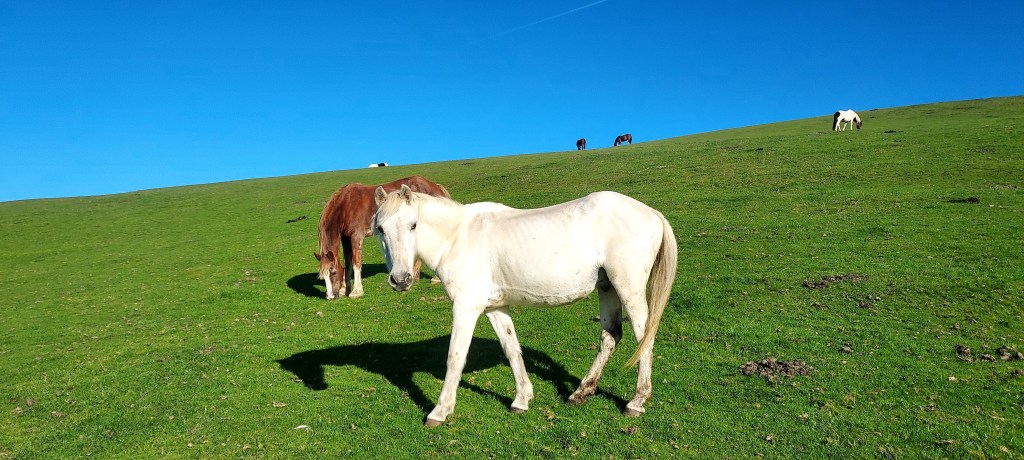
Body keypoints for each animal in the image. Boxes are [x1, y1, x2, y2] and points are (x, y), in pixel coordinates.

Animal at [315, 176, 450, 299]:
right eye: (323, 277)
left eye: (333, 272)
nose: (330, 297)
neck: (346, 205)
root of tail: (436, 186)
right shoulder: (345, 238)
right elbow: (347, 264)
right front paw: (344, 290)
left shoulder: (356, 236)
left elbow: (356, 263)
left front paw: (356, 291)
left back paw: (435, 278)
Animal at [372, 185, 678, 427]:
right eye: (381, 229)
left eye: (413, 225)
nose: (400, 279)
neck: (458, 237)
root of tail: (652, 213)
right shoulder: (494, 308)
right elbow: (511, 349)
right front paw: (522, 399)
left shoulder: (466, 307)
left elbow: (455, 357)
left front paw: (439, 411)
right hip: (608, 288)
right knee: (610, 336)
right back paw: (580, 392)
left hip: (628, 288)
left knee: (644, 337)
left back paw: (636, 402)